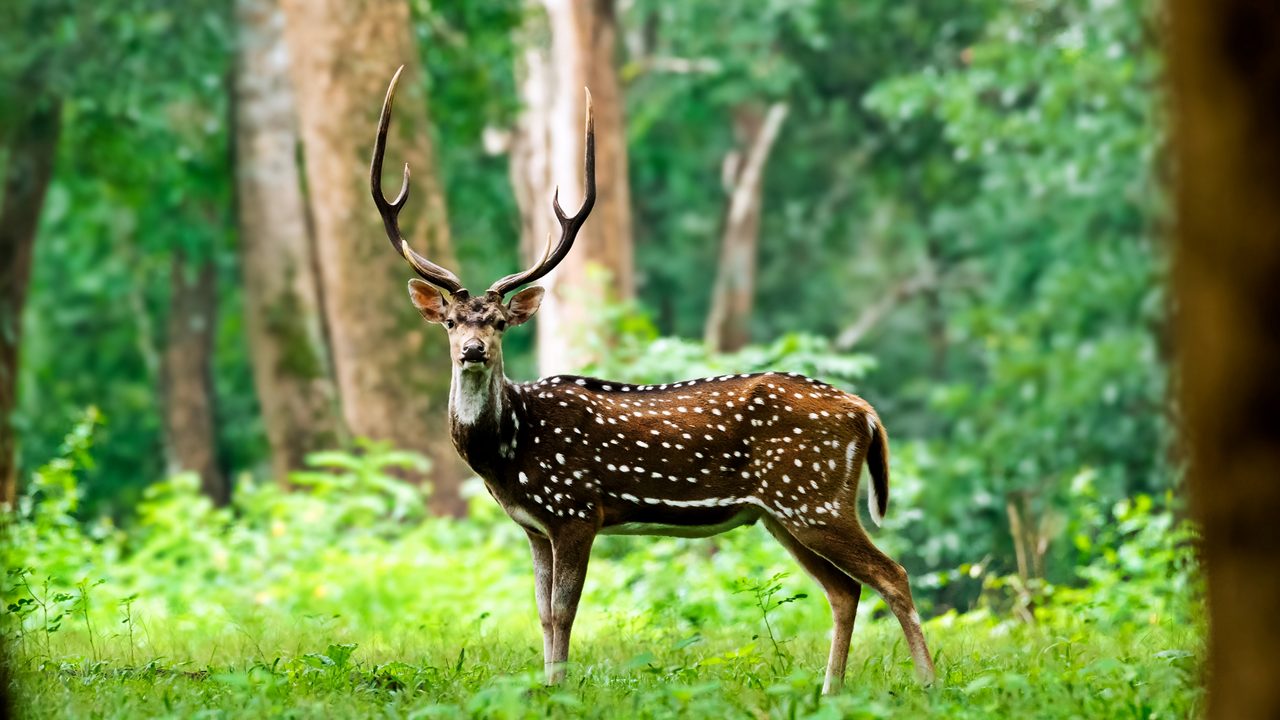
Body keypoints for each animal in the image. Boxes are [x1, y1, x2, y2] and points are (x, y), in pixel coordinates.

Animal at [366, 65, 936, 691]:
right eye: (451, 321)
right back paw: (830, 690)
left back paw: (927, 686)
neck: (509, 449)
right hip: (783, 513)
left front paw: (559, 690)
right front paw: (545, 687)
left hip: (813, 495)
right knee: (845, 589)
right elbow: (540, 613)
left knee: (892, 574)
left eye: (497, 323)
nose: (472, 350)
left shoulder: (576, 509)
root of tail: (865, 413)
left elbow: (563, 611)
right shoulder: (535, 525)